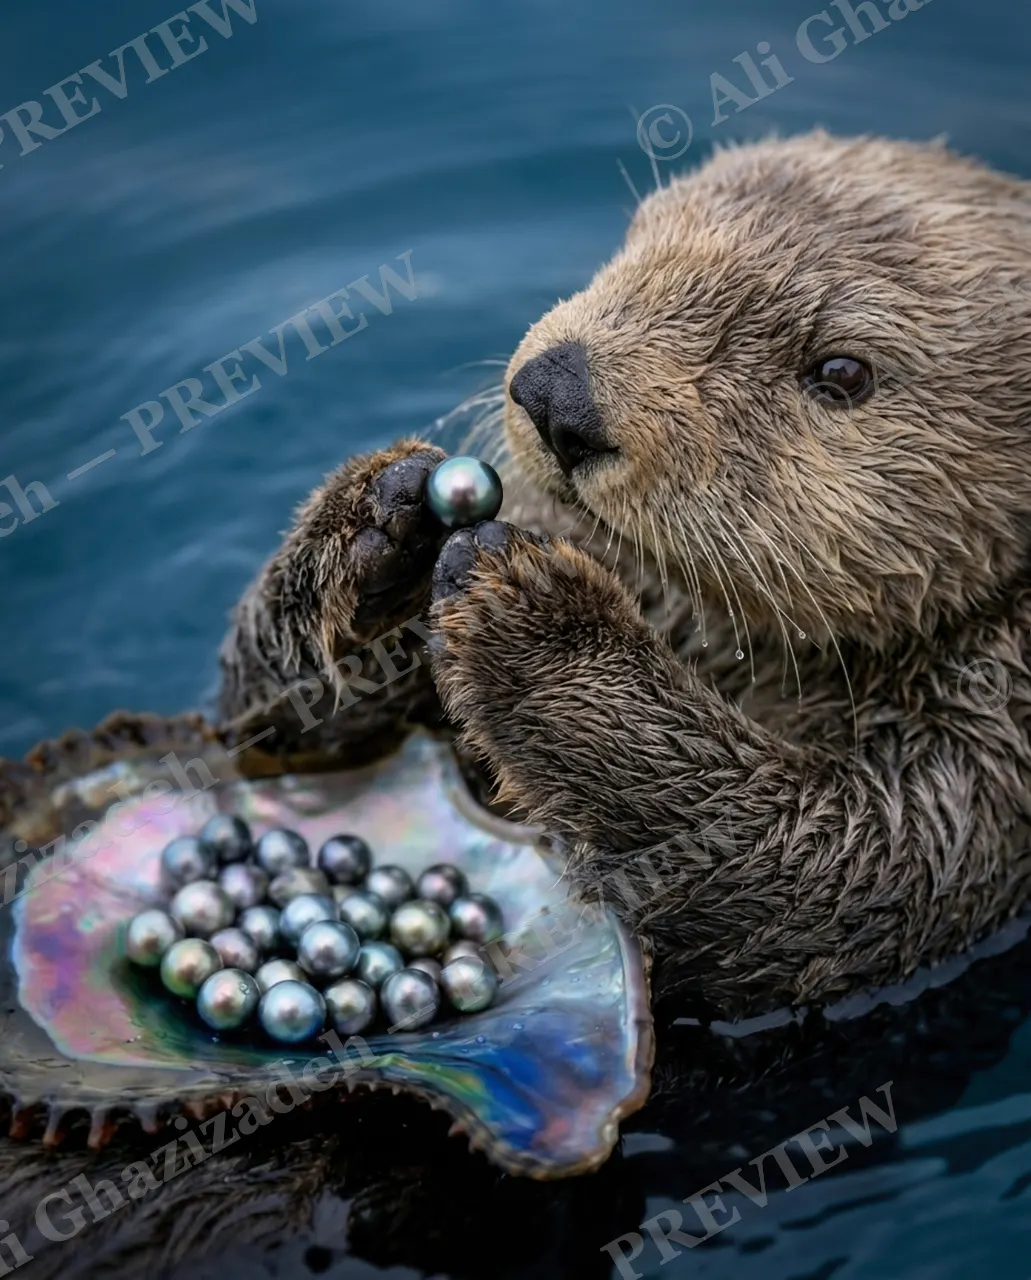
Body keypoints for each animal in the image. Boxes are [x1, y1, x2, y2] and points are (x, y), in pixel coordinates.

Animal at [219, 131, 1031, 1021]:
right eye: (638, 243)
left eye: (842, 372)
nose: (557, 394)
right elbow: (267, 736)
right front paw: (377, 520)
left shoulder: (986, 754)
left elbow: (819, 873)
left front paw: (542, 625)